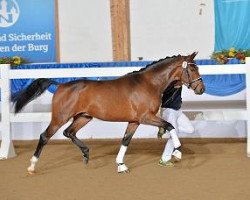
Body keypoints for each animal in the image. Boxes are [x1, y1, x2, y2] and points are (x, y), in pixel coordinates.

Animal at [12, 51, 205, 173]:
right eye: (192, 69)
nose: (201, 89)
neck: (149, 84)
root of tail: (60, 85)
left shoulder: (134, 121)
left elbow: (125, 141)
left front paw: (121, 165)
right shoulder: (146, 117)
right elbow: (170, 125)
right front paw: (178, 152)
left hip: (84, 117)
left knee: (69, 132)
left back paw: (86, 154)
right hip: (60, 117)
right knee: (45, 136)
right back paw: (32, 166)